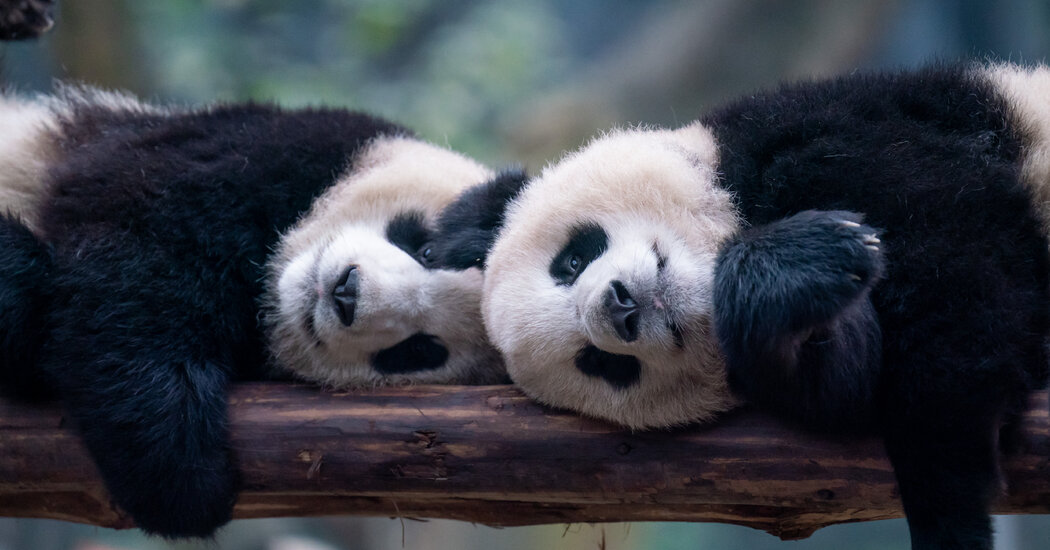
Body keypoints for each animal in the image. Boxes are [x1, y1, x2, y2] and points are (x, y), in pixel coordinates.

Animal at [0, 85, 506, 537]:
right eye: (426, 249)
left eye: (419, 350)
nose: (347, 294)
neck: (269, 295)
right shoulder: (240, 153)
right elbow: (133, 258)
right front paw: (183, 466)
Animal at [438, 62, 1050, 550]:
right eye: (602, 364)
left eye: (569, 261)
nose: (621, 310)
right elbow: (850, 381)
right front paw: (795, 271)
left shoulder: (838, 132)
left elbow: (952, 252)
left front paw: (948, 503)